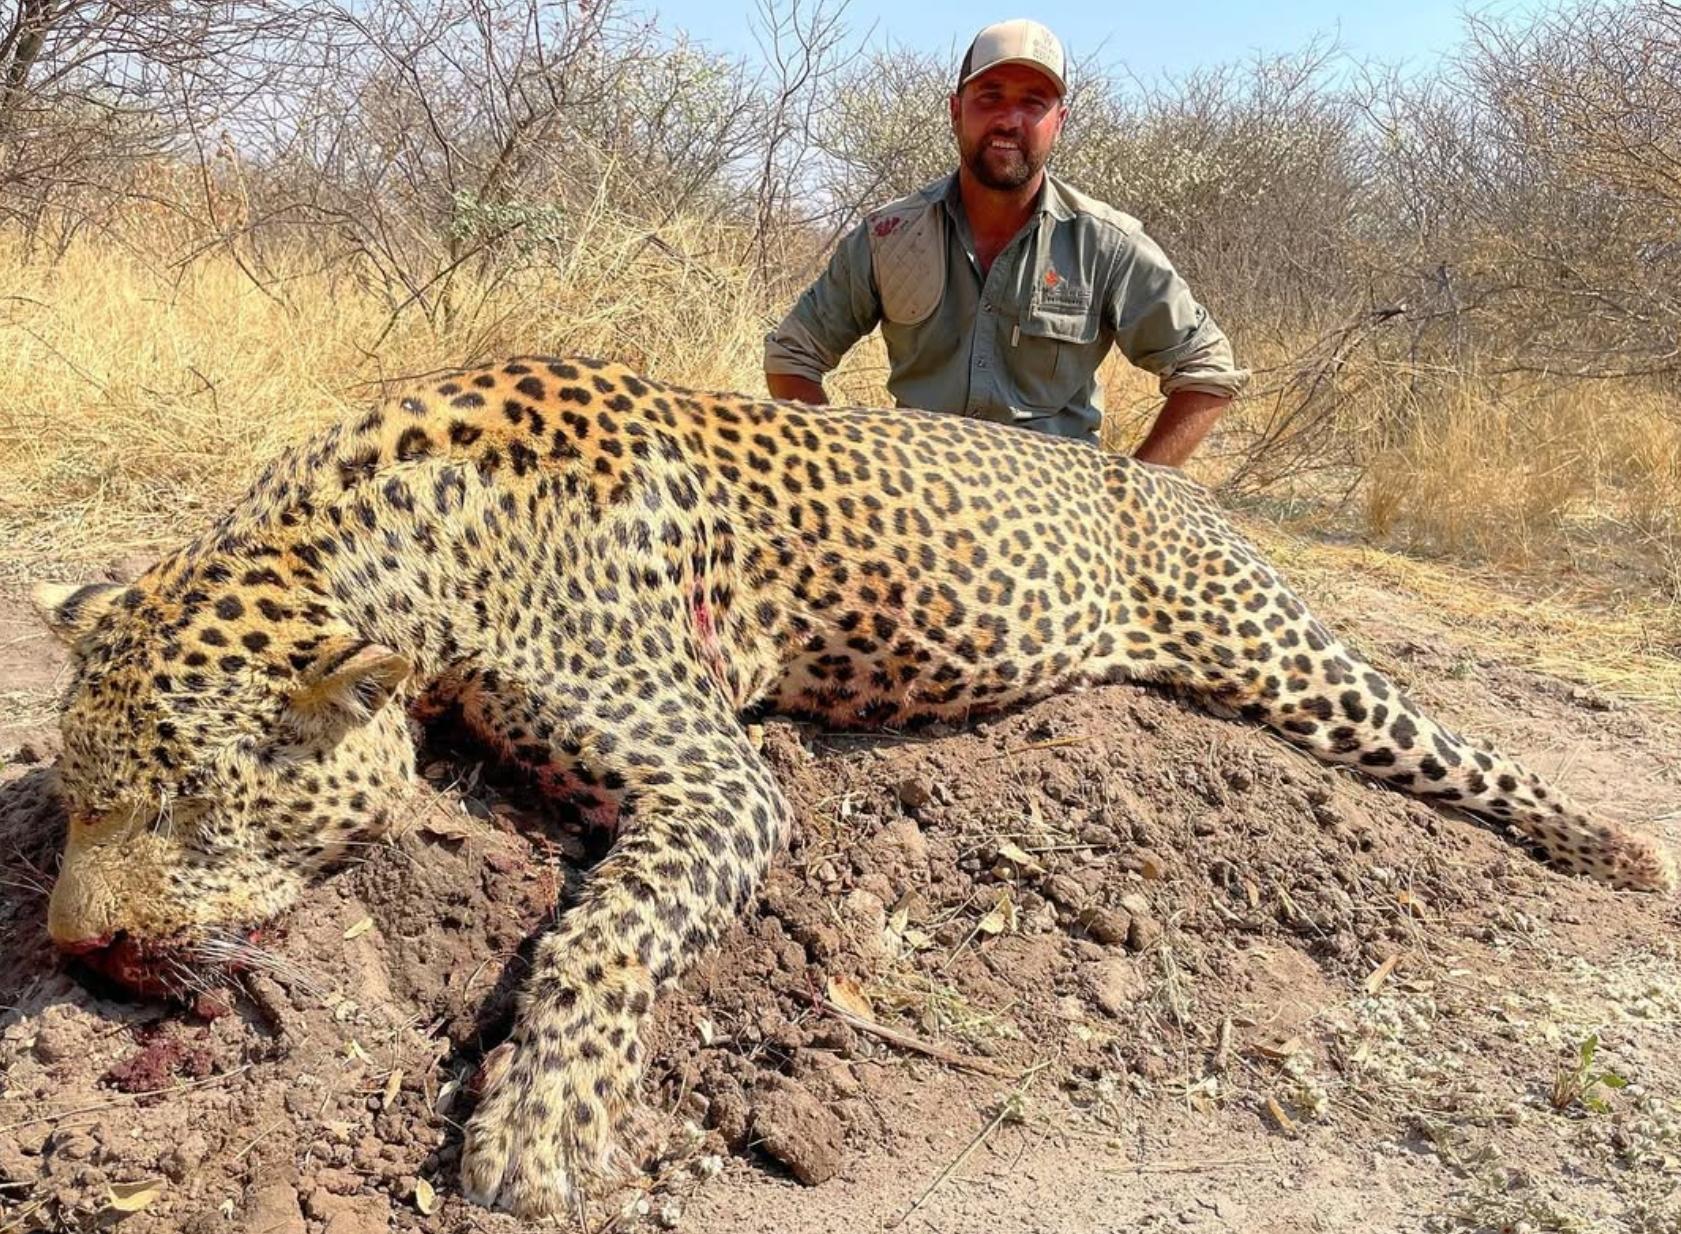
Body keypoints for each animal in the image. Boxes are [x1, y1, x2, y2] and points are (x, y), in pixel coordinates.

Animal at [32, 355, 1674, 1220]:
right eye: (74, 797)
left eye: (186, 804)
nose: (72, 949)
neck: (395, 544)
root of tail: (1162, 477)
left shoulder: (720, 777)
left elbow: (602, 937)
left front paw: (540, 1130)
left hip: (1281, 656)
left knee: (1448, 742)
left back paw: (1609, 850)